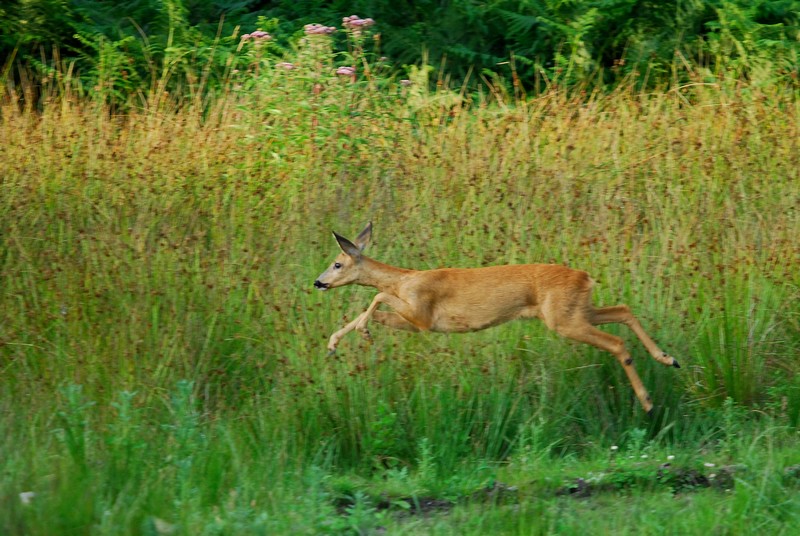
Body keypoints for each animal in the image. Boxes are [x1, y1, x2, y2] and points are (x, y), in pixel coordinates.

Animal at [316, 221, 680, 410]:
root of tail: (585, 276)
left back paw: (648, 401)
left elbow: (377, 297)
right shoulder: (420, 323)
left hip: (564, 320)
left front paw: (360, 332)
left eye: (337, 263)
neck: (406, 280)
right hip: (576, 310)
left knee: (616, 341)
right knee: (623, 310)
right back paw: (668, 359)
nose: (318, 282)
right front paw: (334, 345)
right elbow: (374, 304)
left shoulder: (423, 316)